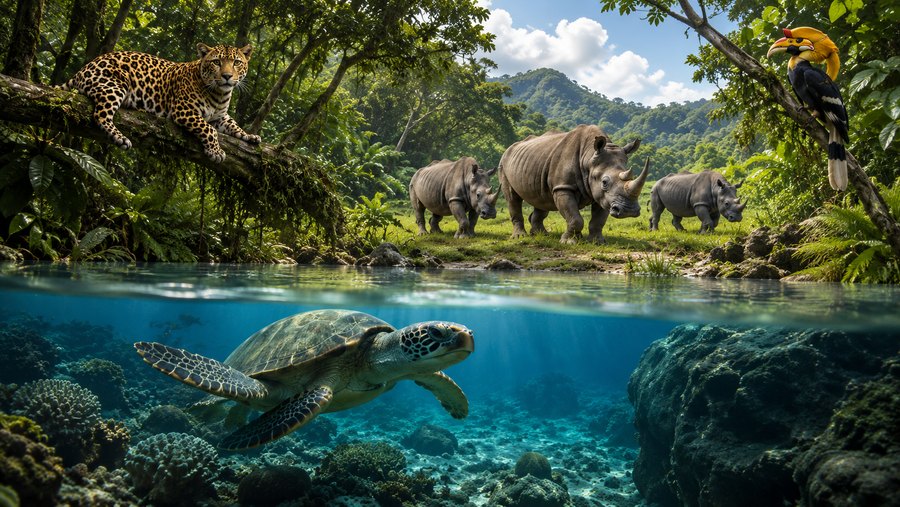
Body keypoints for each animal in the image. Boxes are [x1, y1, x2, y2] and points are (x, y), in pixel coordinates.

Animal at [60, 43, 261, 162]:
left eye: (236, 62)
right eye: (217, 62)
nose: (227, 76)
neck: (220, 94)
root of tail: (83, 69)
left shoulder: (220, 116)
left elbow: (233, 124)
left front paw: (250, 136)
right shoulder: (184, 110)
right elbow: (209, 129)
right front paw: (216, 151)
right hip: (115, 85)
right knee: (101, 115)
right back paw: (120, 138)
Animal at [498, 125, 648, 244]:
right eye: (604, 182)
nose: (629, 211)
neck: (589, 157)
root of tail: (510, 148)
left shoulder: (604, 196)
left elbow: (598, 220)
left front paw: (597, 242)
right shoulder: (563, 187)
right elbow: (575, 218)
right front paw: (569, 242)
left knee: (541, 199)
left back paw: (542, 235)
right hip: (504, 162)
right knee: (512, 197)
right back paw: (519, 237)